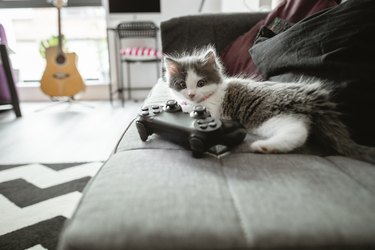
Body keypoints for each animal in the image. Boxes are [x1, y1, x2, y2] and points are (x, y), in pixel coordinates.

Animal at [164, 46, 375, 164]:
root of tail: (314, 97)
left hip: (267, 115)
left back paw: (263, 146)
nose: (191, 93)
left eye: (200, 83)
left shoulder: (213, 111)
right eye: (182, 84)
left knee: (298, 132)